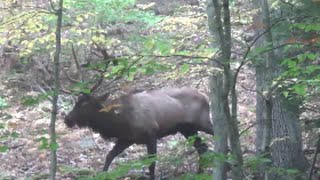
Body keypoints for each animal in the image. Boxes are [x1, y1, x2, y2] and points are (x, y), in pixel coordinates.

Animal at [64, 87, 212, 179]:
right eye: (76, 103)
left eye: (84, 105)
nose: (67, 119)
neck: (120, 121)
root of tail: (206, 96)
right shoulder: (126, 139)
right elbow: (109, 156)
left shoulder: (151, 133)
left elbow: (151, 163)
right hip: (187, 129)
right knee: (202, 148)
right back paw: (200, 173)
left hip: (203, 123)